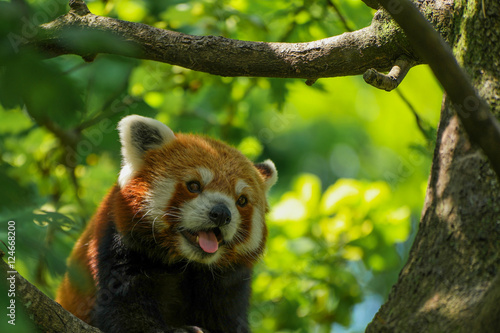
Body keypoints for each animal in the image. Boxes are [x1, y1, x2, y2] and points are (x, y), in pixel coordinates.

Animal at [56, 115, 280, 332]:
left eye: (241, 200)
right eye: (194, 185)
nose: (221, 214)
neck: (184, 263)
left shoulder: (229, 282)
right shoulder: (115, 246)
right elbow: (125, 312)